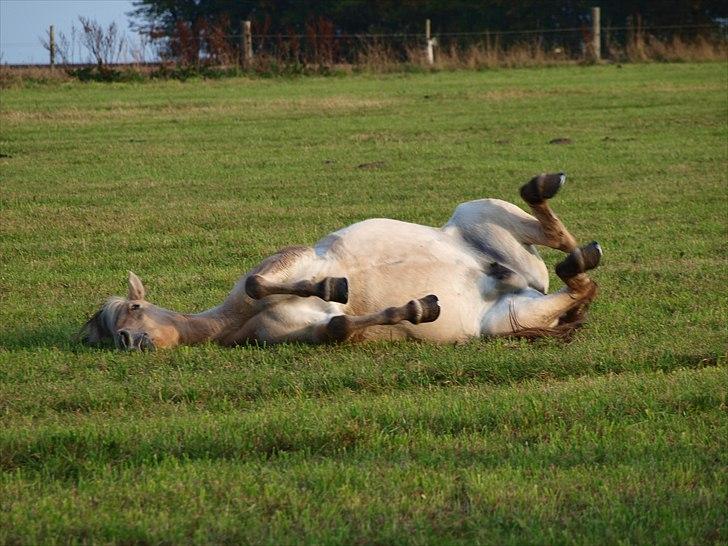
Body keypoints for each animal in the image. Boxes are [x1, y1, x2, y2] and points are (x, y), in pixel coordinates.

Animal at [79, 175, 604, 352]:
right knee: (577, 285)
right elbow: (337, 326)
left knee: (553, 235)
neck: (241, 321)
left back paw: (548, 195)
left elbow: (256, 282)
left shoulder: (286, 261)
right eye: (106, 332)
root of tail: (526, 282)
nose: (127, 341)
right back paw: (575, 265)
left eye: (132, 309)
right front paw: (417, 309)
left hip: (477, 213)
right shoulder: (303, 334)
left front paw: (332, 284)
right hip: (509, 317)